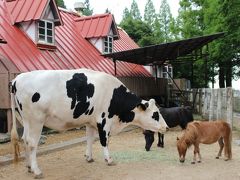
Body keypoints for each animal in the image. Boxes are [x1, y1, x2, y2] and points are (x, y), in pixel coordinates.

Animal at [10, 68, 169, 178]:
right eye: (155, 114)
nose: (166, 127)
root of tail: (17, 79)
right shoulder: (103, 120)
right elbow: (104, 141)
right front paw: (109, 159)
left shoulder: (90, 121)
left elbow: (89, 139)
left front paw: (89, 157)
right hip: (36, 120)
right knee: (32, 143)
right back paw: (37, 171)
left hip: (25, 120)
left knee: (24, 139)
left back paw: (29, 167)